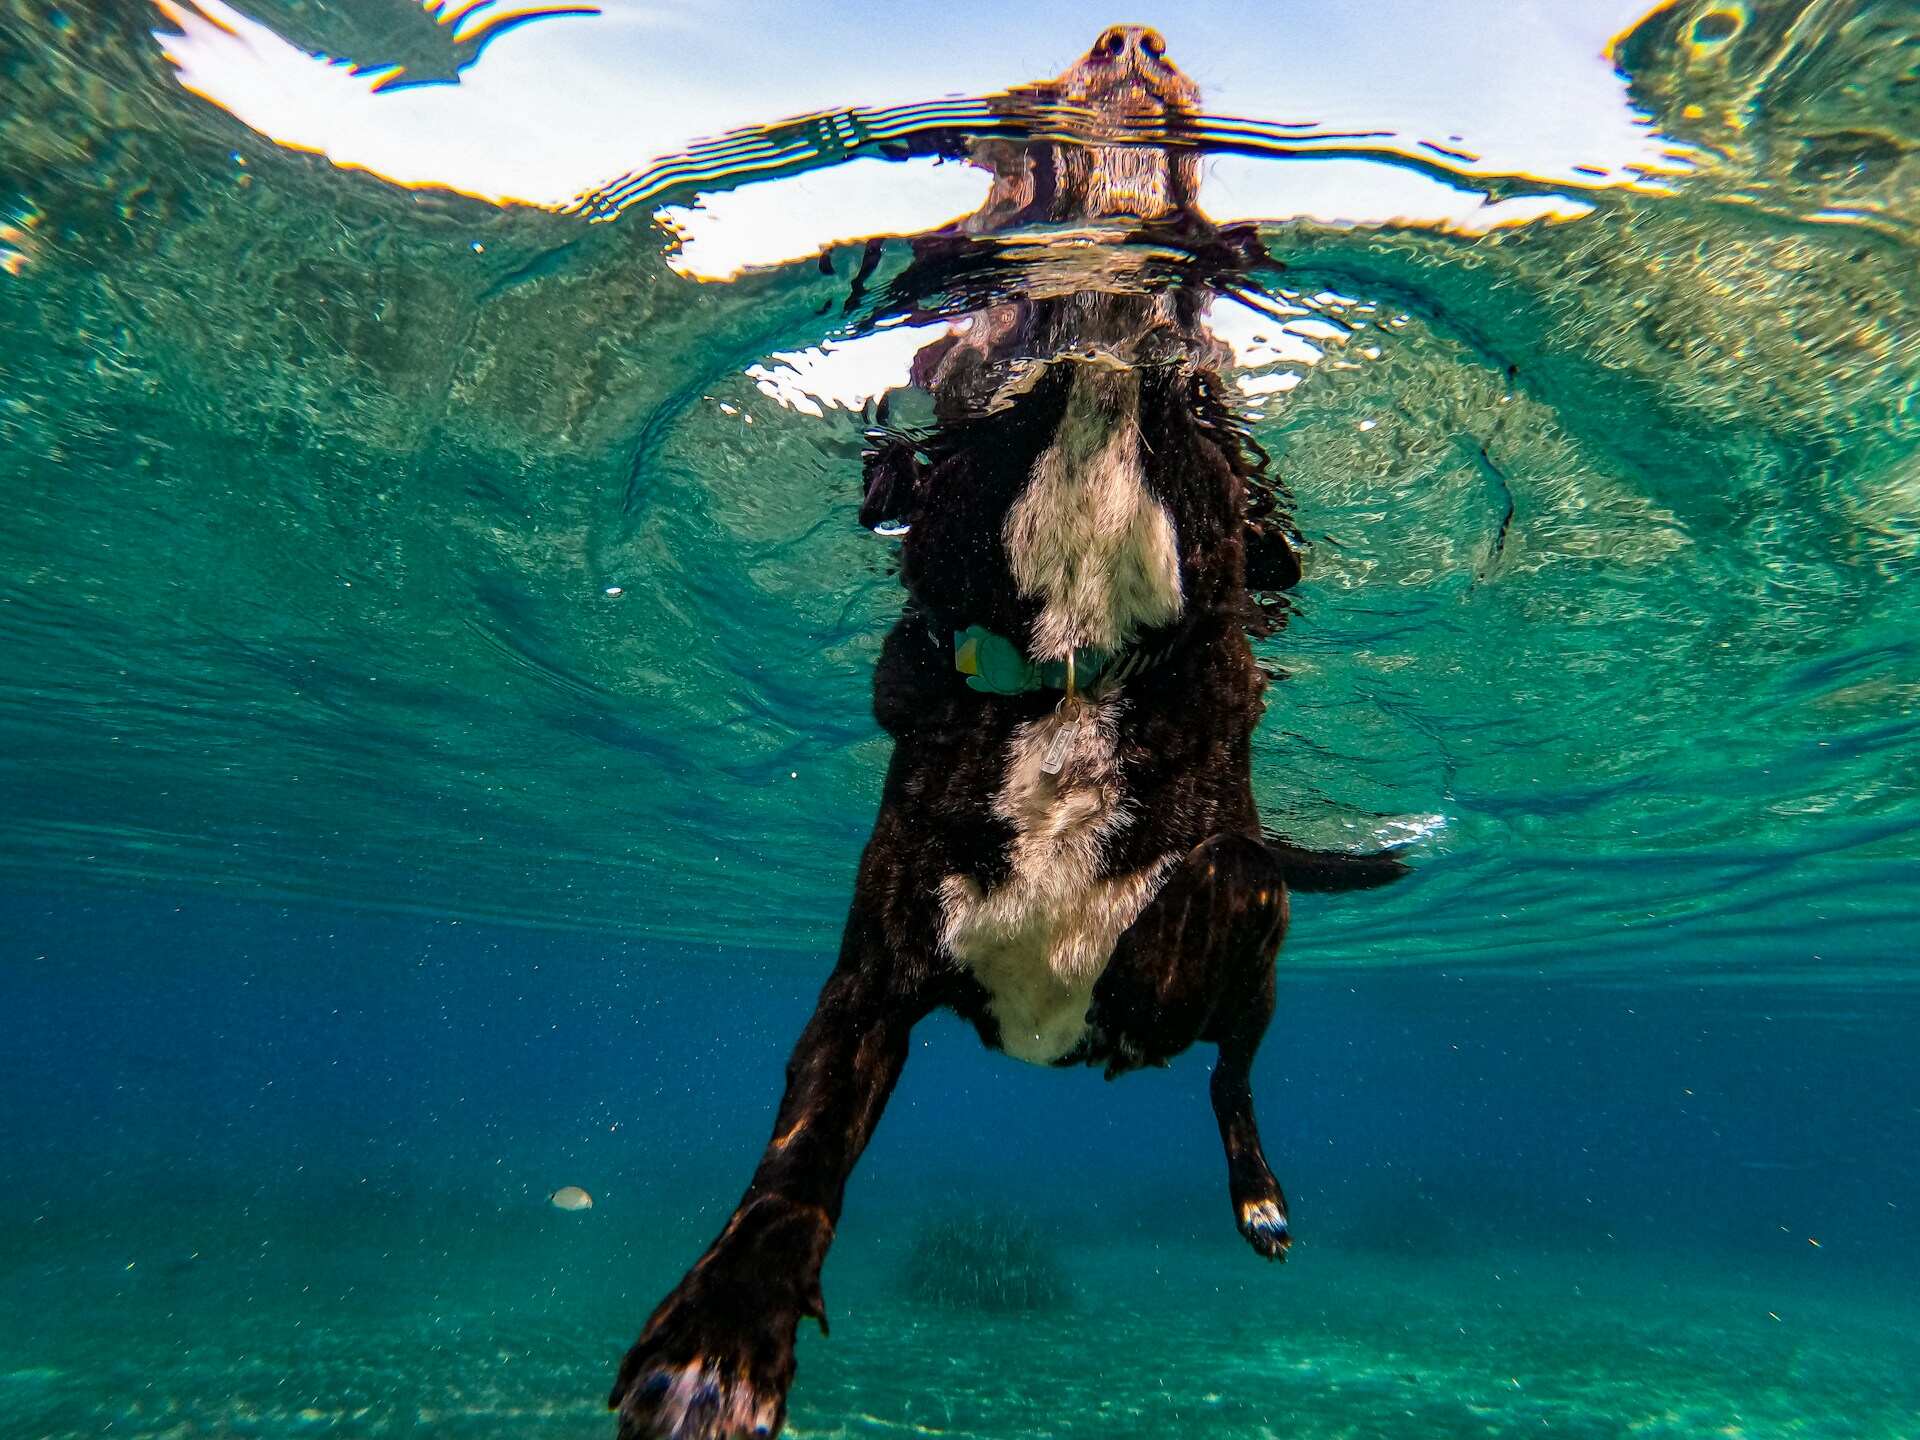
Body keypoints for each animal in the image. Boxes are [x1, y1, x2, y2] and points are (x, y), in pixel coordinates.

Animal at [614, 25, 1413, 1440]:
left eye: (1207, 395)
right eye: (968, 361)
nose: (1129, 45)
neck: (1069, 682)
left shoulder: (1227, 890)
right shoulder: (866, 987)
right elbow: (800, 1156)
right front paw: (720, 1334)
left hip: (1250, 950)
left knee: (1234, 1071)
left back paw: (1258, 1192)